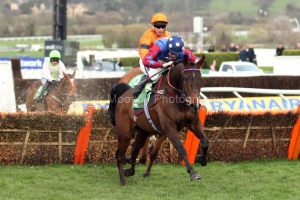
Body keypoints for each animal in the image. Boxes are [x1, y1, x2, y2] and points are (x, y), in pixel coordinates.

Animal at [108, 55, 209, 186]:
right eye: (186, 79)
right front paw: (193, 172)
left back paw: (130, 171)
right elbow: (181, 148)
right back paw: (123, 181)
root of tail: (124, 94)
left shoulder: (193, 122)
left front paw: (202, 159)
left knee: (134, 149)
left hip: (143, 132)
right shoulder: (169, 127)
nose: (194, 105)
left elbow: (205, 141)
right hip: (125, 133)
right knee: (120, 156)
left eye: (200, 79)